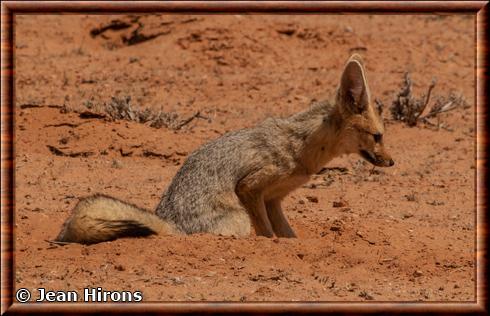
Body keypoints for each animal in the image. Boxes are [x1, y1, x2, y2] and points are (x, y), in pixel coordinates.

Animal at [56, 53, 394, 244]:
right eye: (378, 136)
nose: (391, 162)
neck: (302, 144)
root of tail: (173, 223)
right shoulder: (250, 188)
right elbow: (267, 233)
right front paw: (269, 243)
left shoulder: (273, 199)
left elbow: (287, 234)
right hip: (239, 217)